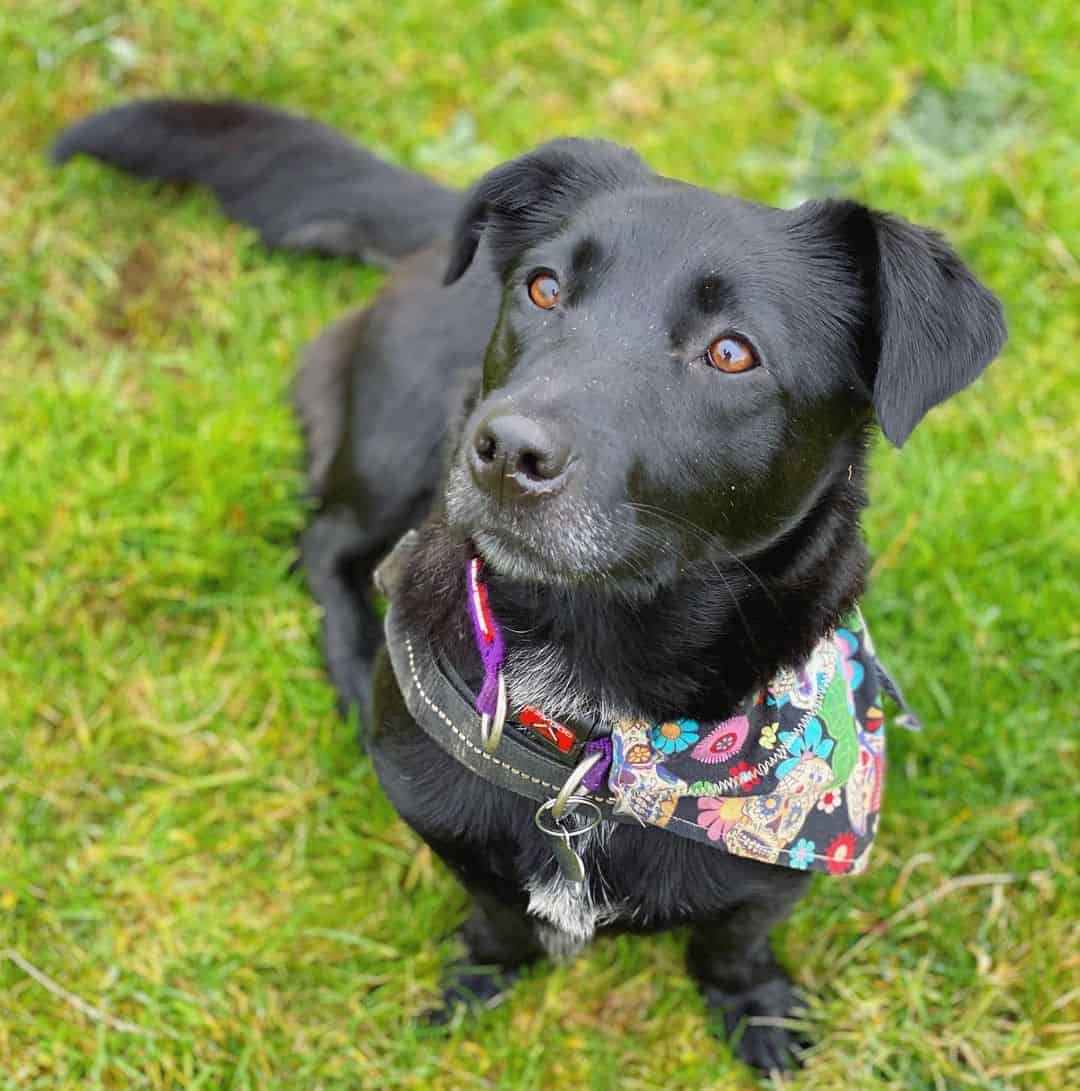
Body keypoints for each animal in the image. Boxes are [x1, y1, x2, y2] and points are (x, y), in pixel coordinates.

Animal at [55, 102, 1012, 1073]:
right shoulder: (440, 814)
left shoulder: (774, 875)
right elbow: (497, 908)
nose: (506, 450)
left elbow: (731, 938)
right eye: (544, 290)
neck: (598, 730)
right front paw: (483, 974)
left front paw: (756, 1010)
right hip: (388, 445)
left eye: (731, 352)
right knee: (328, 545)